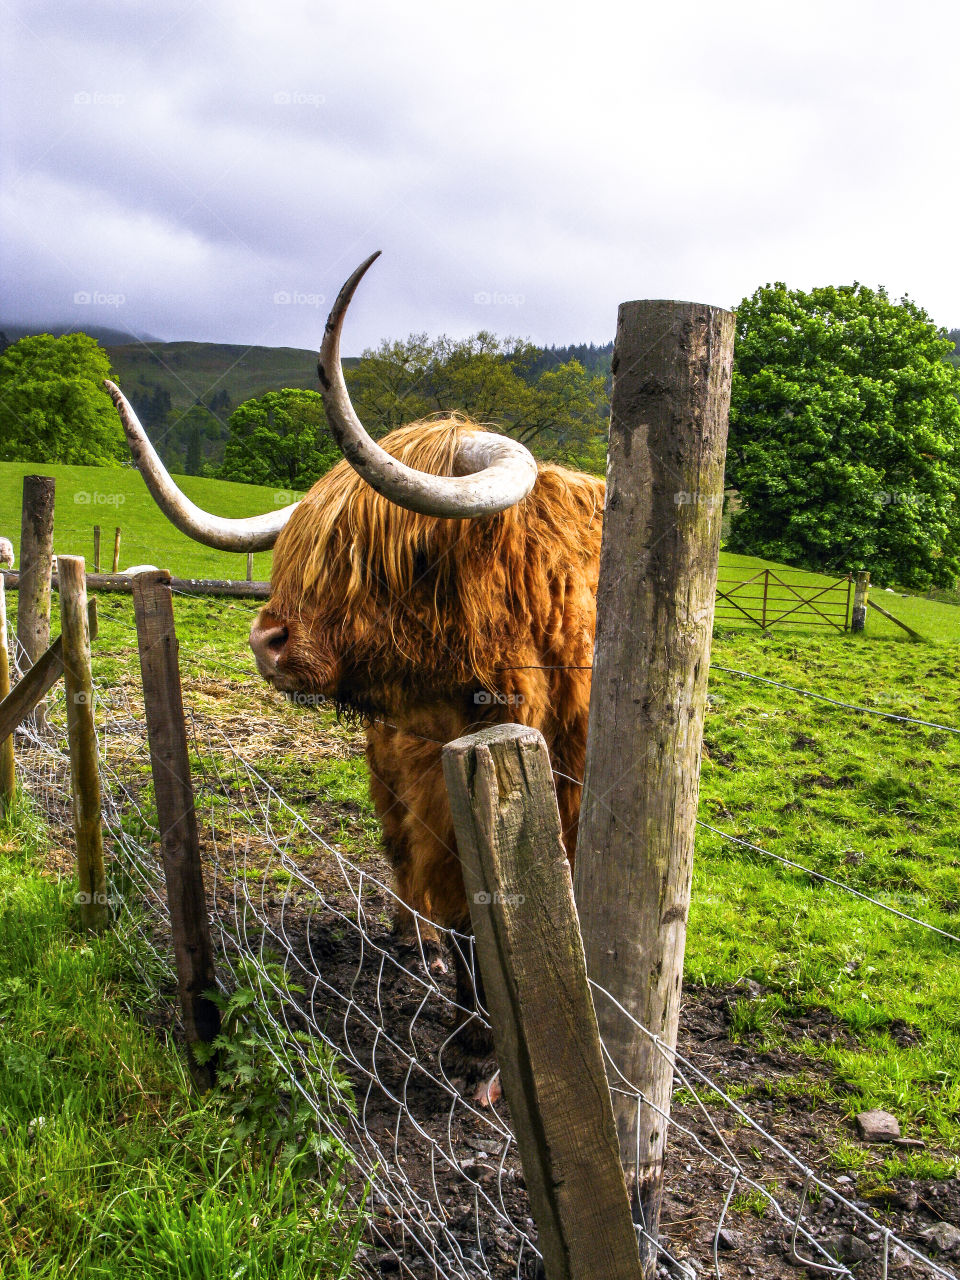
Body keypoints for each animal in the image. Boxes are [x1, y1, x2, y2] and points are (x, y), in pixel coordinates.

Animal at [106, 254, 604, 1083]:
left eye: (405, 553)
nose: (266, 640)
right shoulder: (445, 804)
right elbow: (467, 924)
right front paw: (475, 1043)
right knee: (406, 865)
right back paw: (413, 942)